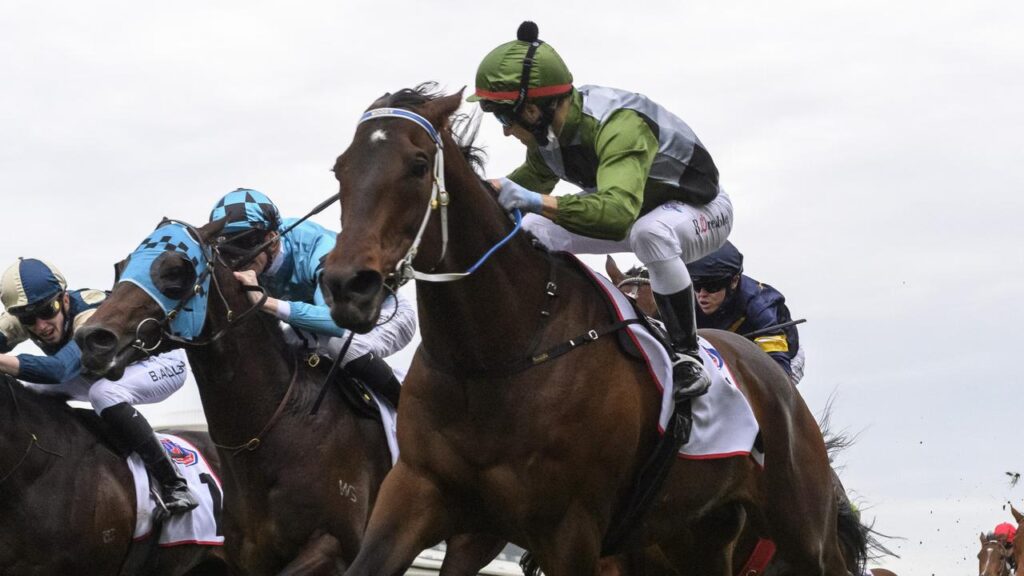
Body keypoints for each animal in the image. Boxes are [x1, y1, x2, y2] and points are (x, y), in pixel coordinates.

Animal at [319, 84, 847, 573]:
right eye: (340, 169)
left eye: (417, 164)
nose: (347, 284)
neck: (495, 356)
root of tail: (772, 377)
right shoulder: (421, 494)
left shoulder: (570, 529)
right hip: (699, 535)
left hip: (802, 531)